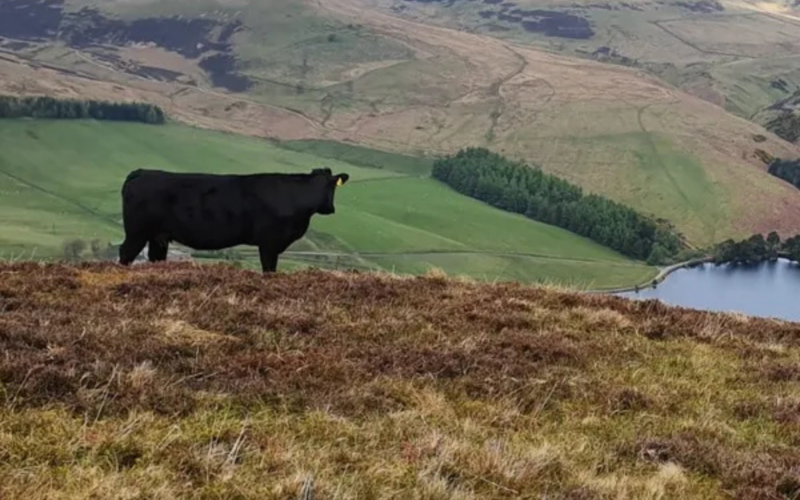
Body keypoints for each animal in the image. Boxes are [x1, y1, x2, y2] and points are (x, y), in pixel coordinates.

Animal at [117, 167, 348, 270]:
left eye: (331, 186)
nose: (331, 208)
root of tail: (141, 172)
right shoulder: (269, 243)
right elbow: (269, 270)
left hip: (158, 235)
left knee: (155, 257)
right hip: (137, 232)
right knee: (126, 252)